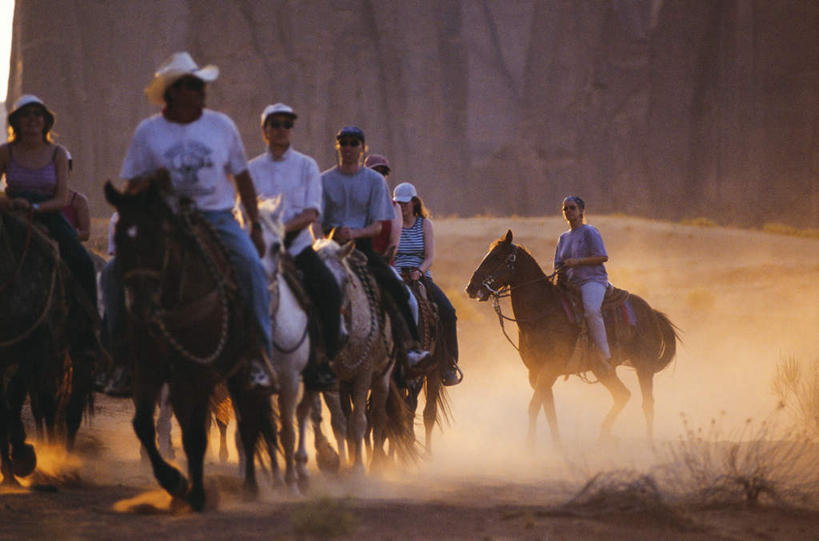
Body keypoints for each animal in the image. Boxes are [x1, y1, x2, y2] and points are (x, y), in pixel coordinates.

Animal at [103, 171, 272, 508]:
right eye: (120, 238)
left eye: (157, 238)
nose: (141, 303)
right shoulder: (149, 369)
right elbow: (145, 425)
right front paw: (176, 481)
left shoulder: (201, 372)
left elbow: (198, 432)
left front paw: (196, 492)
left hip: (239, 372)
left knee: (247, 424)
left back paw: (250, 486)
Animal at [468, 230, 680, 440]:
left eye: (497, 257)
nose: (471, 288)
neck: (543, 311)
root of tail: (652, 312)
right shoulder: (535, 372)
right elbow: (548, 410)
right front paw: (556, 446)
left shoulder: (550, 368)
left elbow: (534, 406)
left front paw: (530, 446)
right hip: (603, 370)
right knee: (623, 395)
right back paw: (603, 435)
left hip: (643, 366)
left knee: (647, 404)